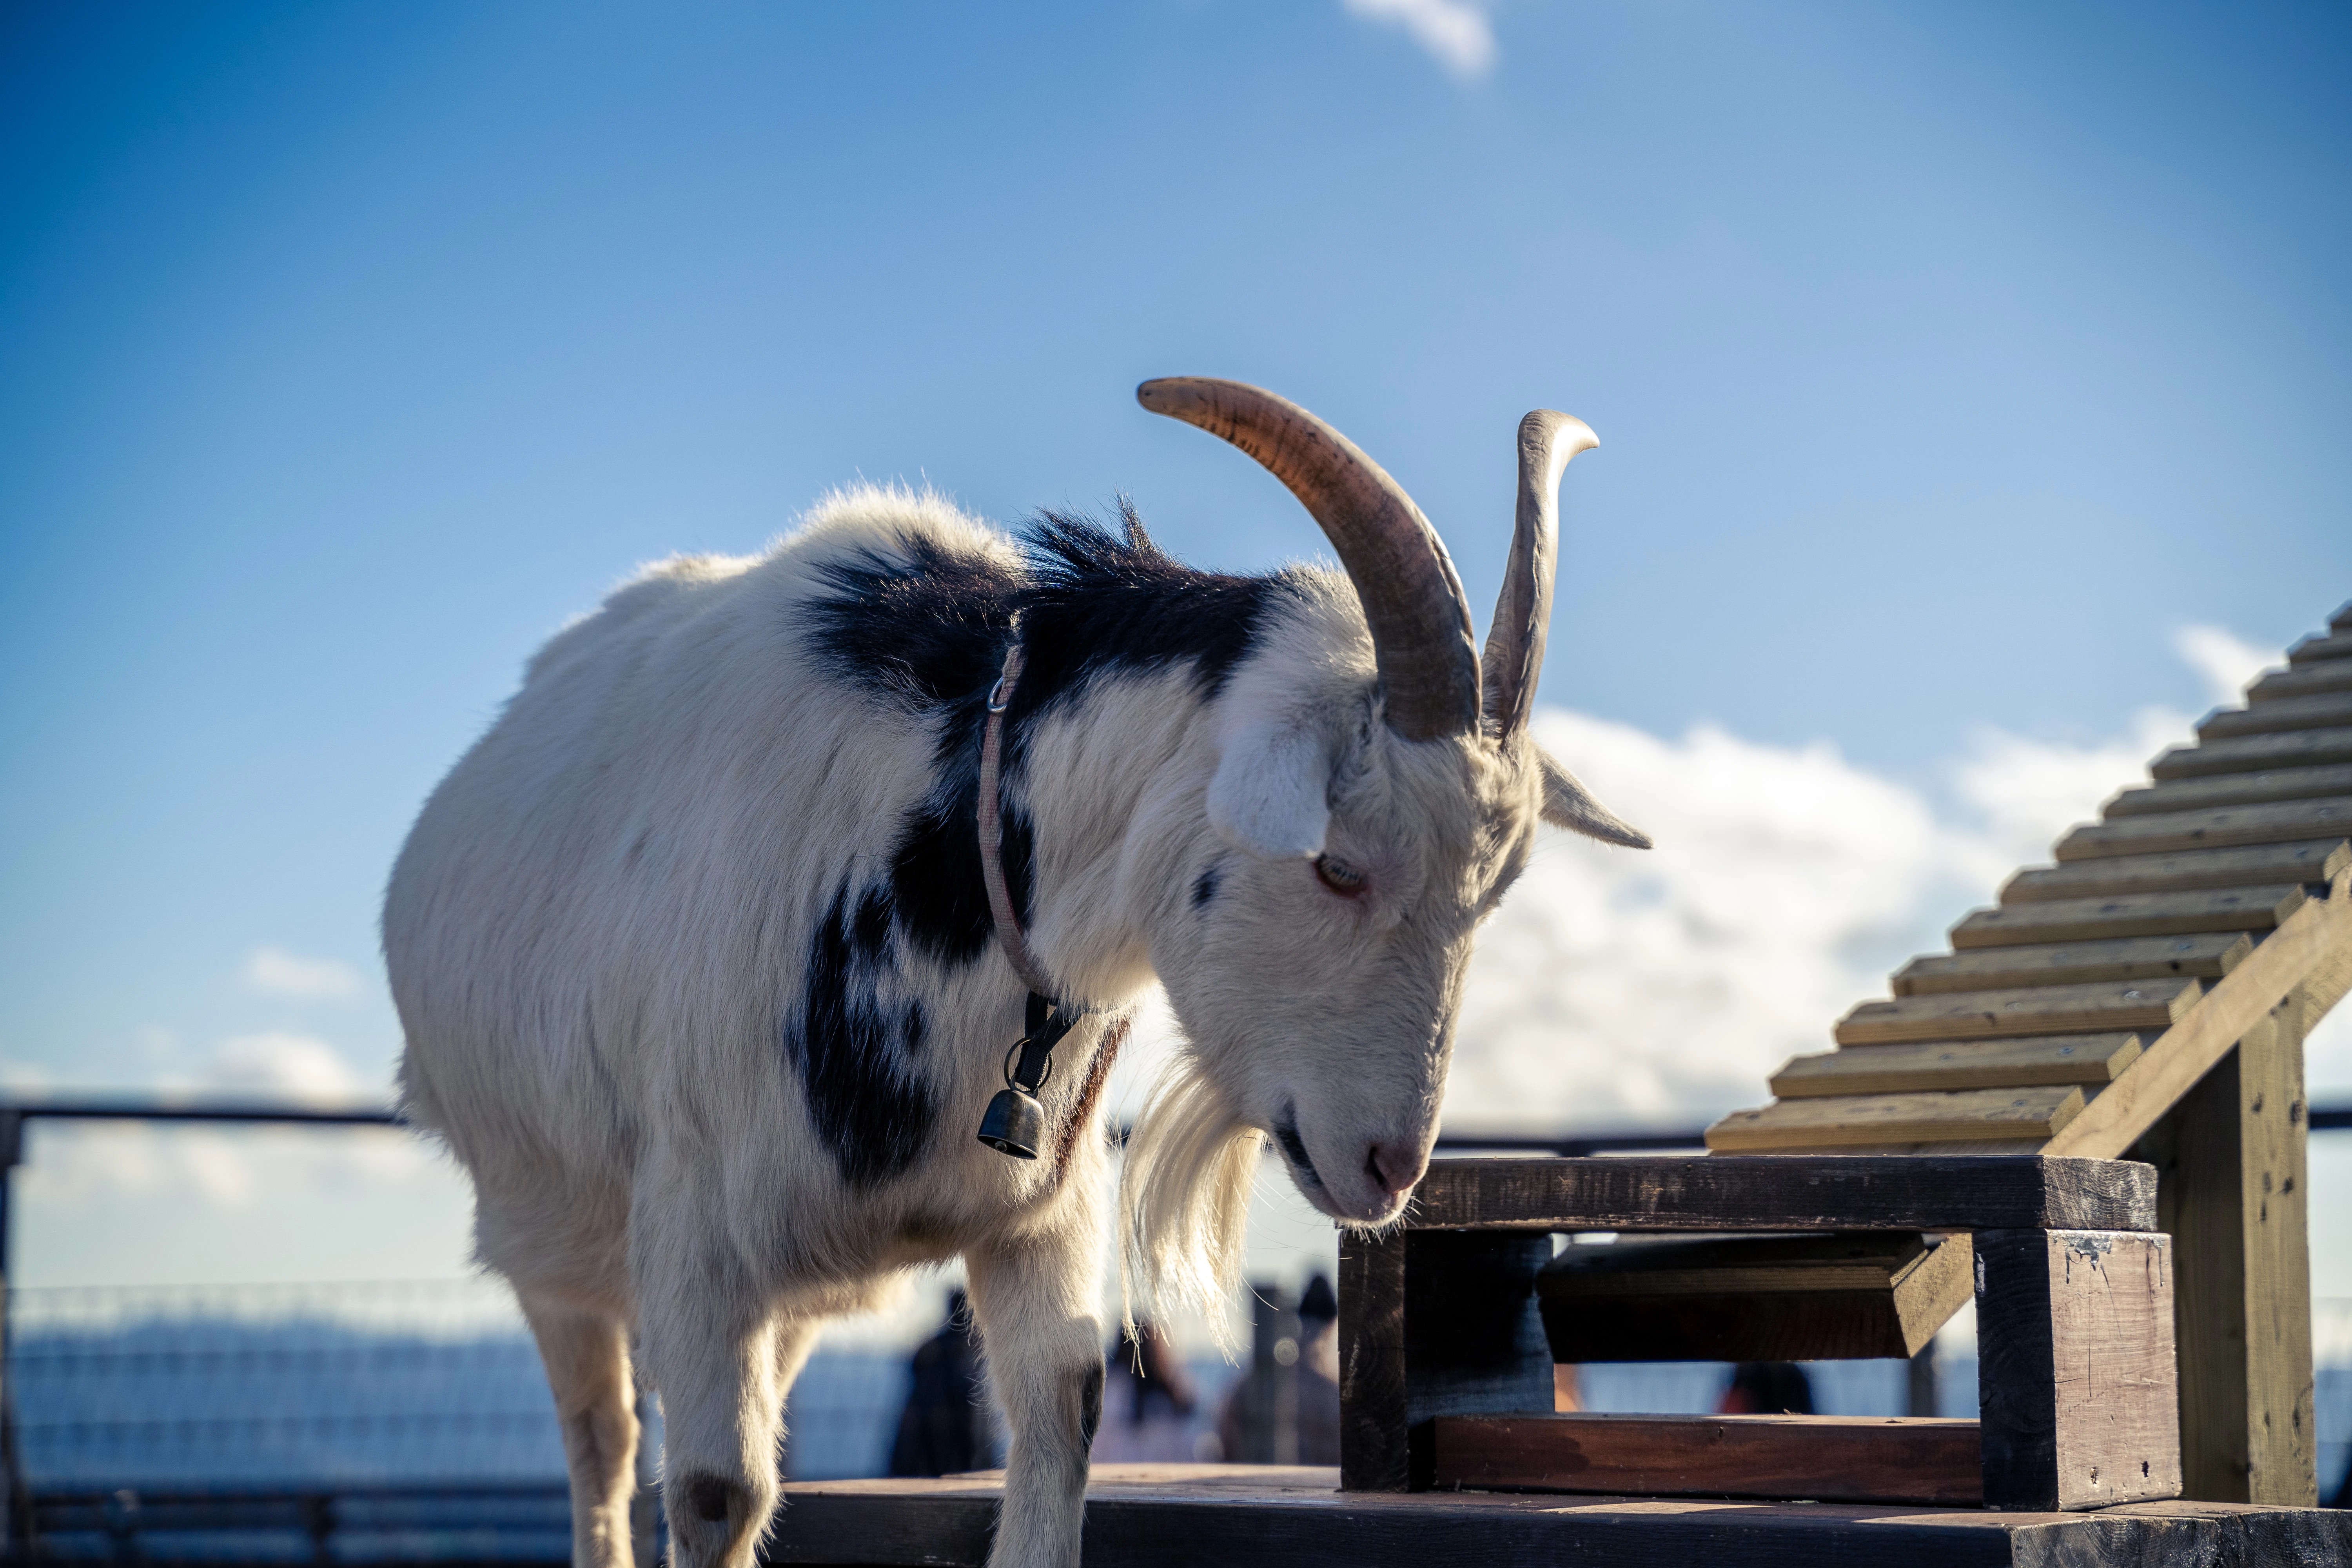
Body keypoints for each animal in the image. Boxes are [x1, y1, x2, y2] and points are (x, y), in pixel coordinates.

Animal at [382, 378, 1646, 1568]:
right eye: (1338, 863)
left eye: (1493, 892)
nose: (1391, 1168)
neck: (940, 843)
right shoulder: (694, 1215)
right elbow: (711, 1492)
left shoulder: (1044, 1204)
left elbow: (1062, 1403)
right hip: (551, 1230)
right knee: (602, 1445)